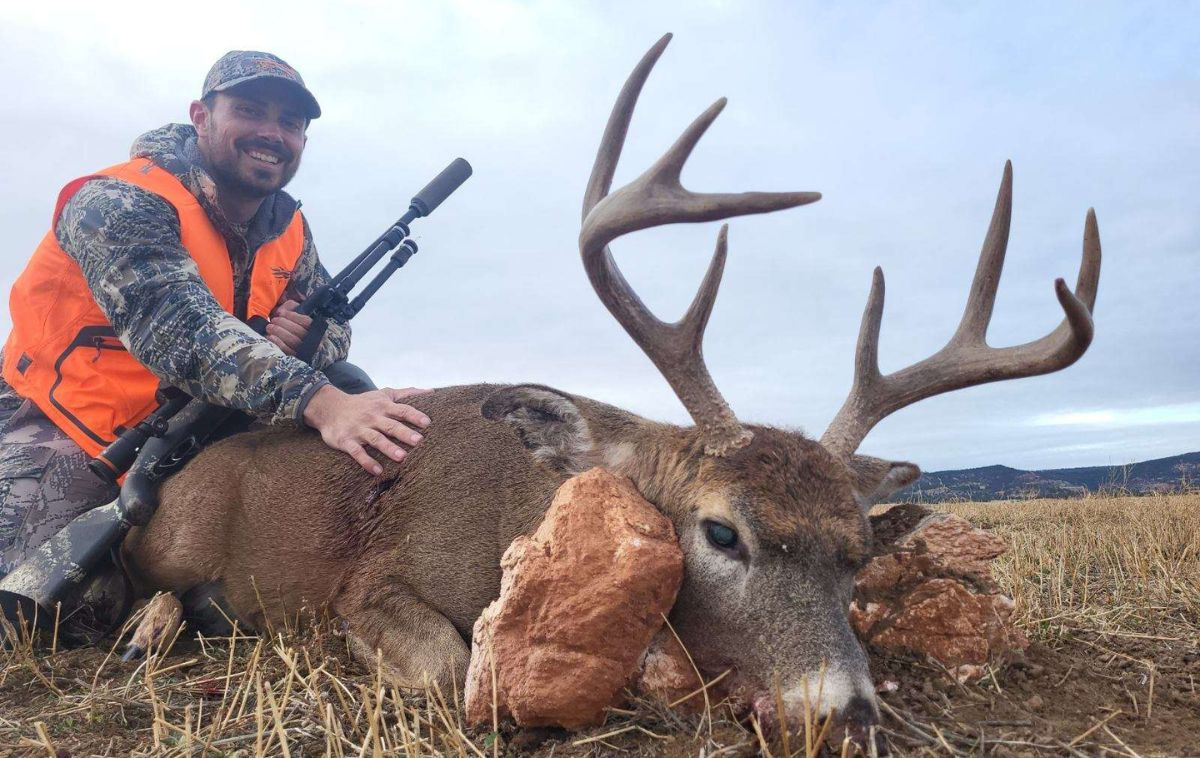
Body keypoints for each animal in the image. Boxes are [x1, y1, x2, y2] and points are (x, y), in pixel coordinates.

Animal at [120, 33, 1101, 745]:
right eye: (721, 532)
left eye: (858, 552)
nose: (846, 713)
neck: (524, 514)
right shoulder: (372, 579)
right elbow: (442, 666)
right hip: (175, 537)